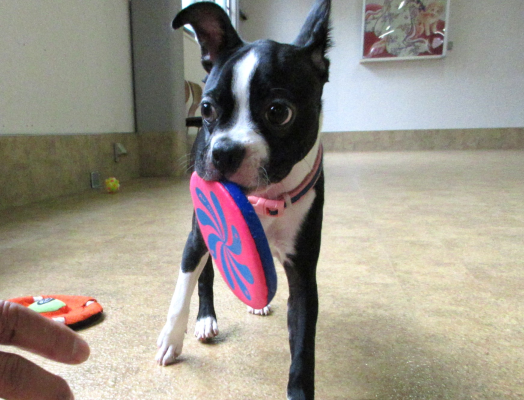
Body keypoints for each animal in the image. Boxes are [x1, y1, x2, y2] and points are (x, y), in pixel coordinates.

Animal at [156, 1, 331, 398]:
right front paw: (172, 339)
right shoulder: (198, 235)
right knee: (205, 277)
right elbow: (182, 290)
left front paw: (299, 389)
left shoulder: (302, 272)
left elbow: (303, 342)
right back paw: (206, 320)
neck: (262, 199)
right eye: (206, 109)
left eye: (279, 112)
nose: (224, 151)